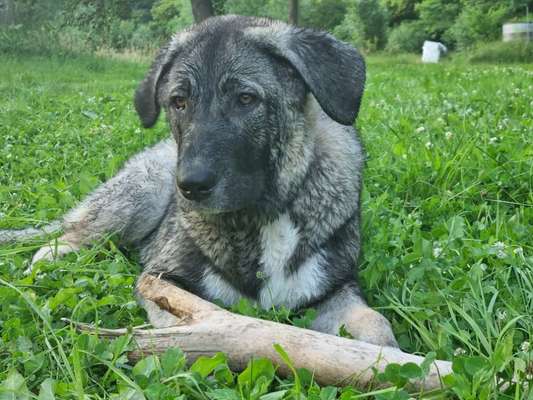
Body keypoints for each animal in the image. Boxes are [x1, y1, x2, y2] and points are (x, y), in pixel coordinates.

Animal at [3, 15, 400, 346]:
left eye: (246, 98)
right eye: (178, 102)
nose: (190, 187)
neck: (263, 215)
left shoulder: (336, 289)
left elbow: (376, 325)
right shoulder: (163, 279)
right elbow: (191, 325)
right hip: (141, 195)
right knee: (67, 237)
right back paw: (43, 266)